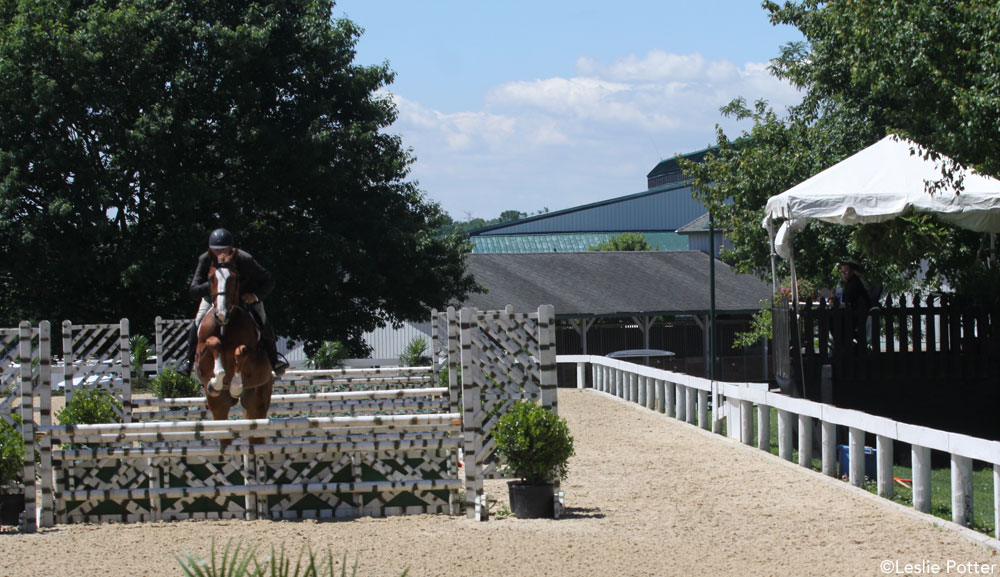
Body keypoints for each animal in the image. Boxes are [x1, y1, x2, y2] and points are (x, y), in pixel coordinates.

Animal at [193, 253, 274, 440]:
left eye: (235, 278)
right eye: (210, 278)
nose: (221, 314)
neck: (226, 326)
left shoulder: (253, 359)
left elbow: (241, 351)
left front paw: (236, 386)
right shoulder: (201, 357)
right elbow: (213, 343)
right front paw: (216, 381)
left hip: (258, 398)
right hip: (218, 404)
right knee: (220, 418)